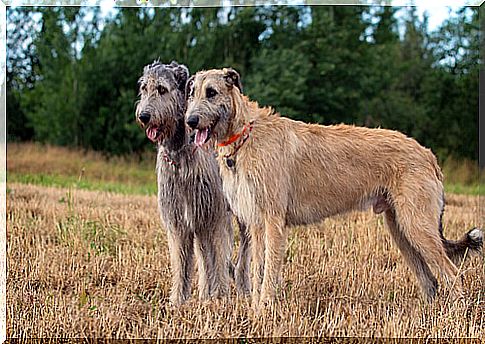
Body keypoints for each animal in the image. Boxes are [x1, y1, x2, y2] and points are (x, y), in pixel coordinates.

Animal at [136, 60, 250, 306]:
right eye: (144, 88)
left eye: (162, 89)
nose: (143, 116)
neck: (179, 154)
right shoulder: (180, 219)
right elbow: (183, 262)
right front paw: (178, 301)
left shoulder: (215, 215)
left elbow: (219, 257)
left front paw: (221, 297)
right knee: (204, 254)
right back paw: (205, 292)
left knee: (245, 249)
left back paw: (243, 286)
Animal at [184, 67, 480, 306]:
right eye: (191, 93)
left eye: (211, 92)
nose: (190, 122)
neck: (245, 134)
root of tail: (428, 155)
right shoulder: (258, 223)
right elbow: (258, 270)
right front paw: (255, 307)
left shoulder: (273, 220)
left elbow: (269, 270)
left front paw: (264, 309)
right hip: (400, 229)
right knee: (430, 279)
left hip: (416, 224)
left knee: (452, 273)